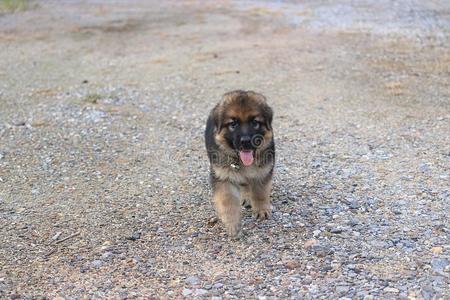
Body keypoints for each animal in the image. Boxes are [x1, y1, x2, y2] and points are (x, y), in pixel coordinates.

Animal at [204, 89, 274, 237]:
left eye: (255, 122)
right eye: (233, 124)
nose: (246, 141)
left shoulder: (263, 171)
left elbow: (260, 192)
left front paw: (261, 210)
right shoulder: (223, 177)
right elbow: (228, 201)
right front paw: (233, 224)